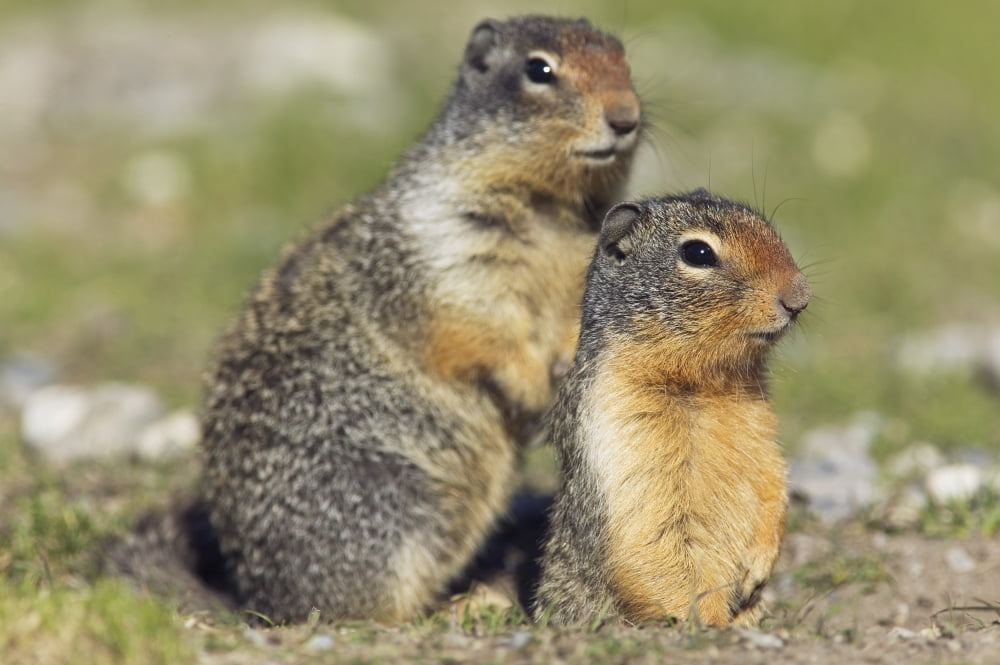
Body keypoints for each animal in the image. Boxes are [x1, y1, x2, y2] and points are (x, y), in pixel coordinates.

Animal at [197, 15, 642, 622]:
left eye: (624, 58)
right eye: (539, 69)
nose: (626, 117)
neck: (551, 210)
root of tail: (257, 592)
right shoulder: (444, 244)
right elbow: (474, 322)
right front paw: (530, 386)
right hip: (387, 504)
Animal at [533, 190, 810, 627]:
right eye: (698, 253)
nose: (800, 297)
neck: (705, 384)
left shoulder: (762, 430)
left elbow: (772, 485)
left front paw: (756, 574)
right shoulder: (624, 429)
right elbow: (658, 543)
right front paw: (708, 624)